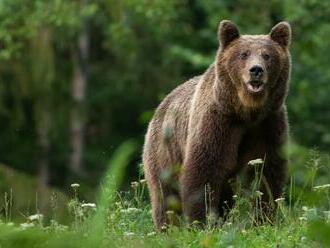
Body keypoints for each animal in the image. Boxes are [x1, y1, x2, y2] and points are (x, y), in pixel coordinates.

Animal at [142, 20, 292, 230]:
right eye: (243, 54)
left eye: (267, 55)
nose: (256, 70)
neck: (247, 111)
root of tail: (162, 105)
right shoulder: (218, 123)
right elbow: (204, 172)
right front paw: (202, 222)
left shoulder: (268, 124)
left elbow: (267, 174)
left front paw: (264, 220)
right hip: (164, 151)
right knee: (165, 195)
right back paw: (167, 227)